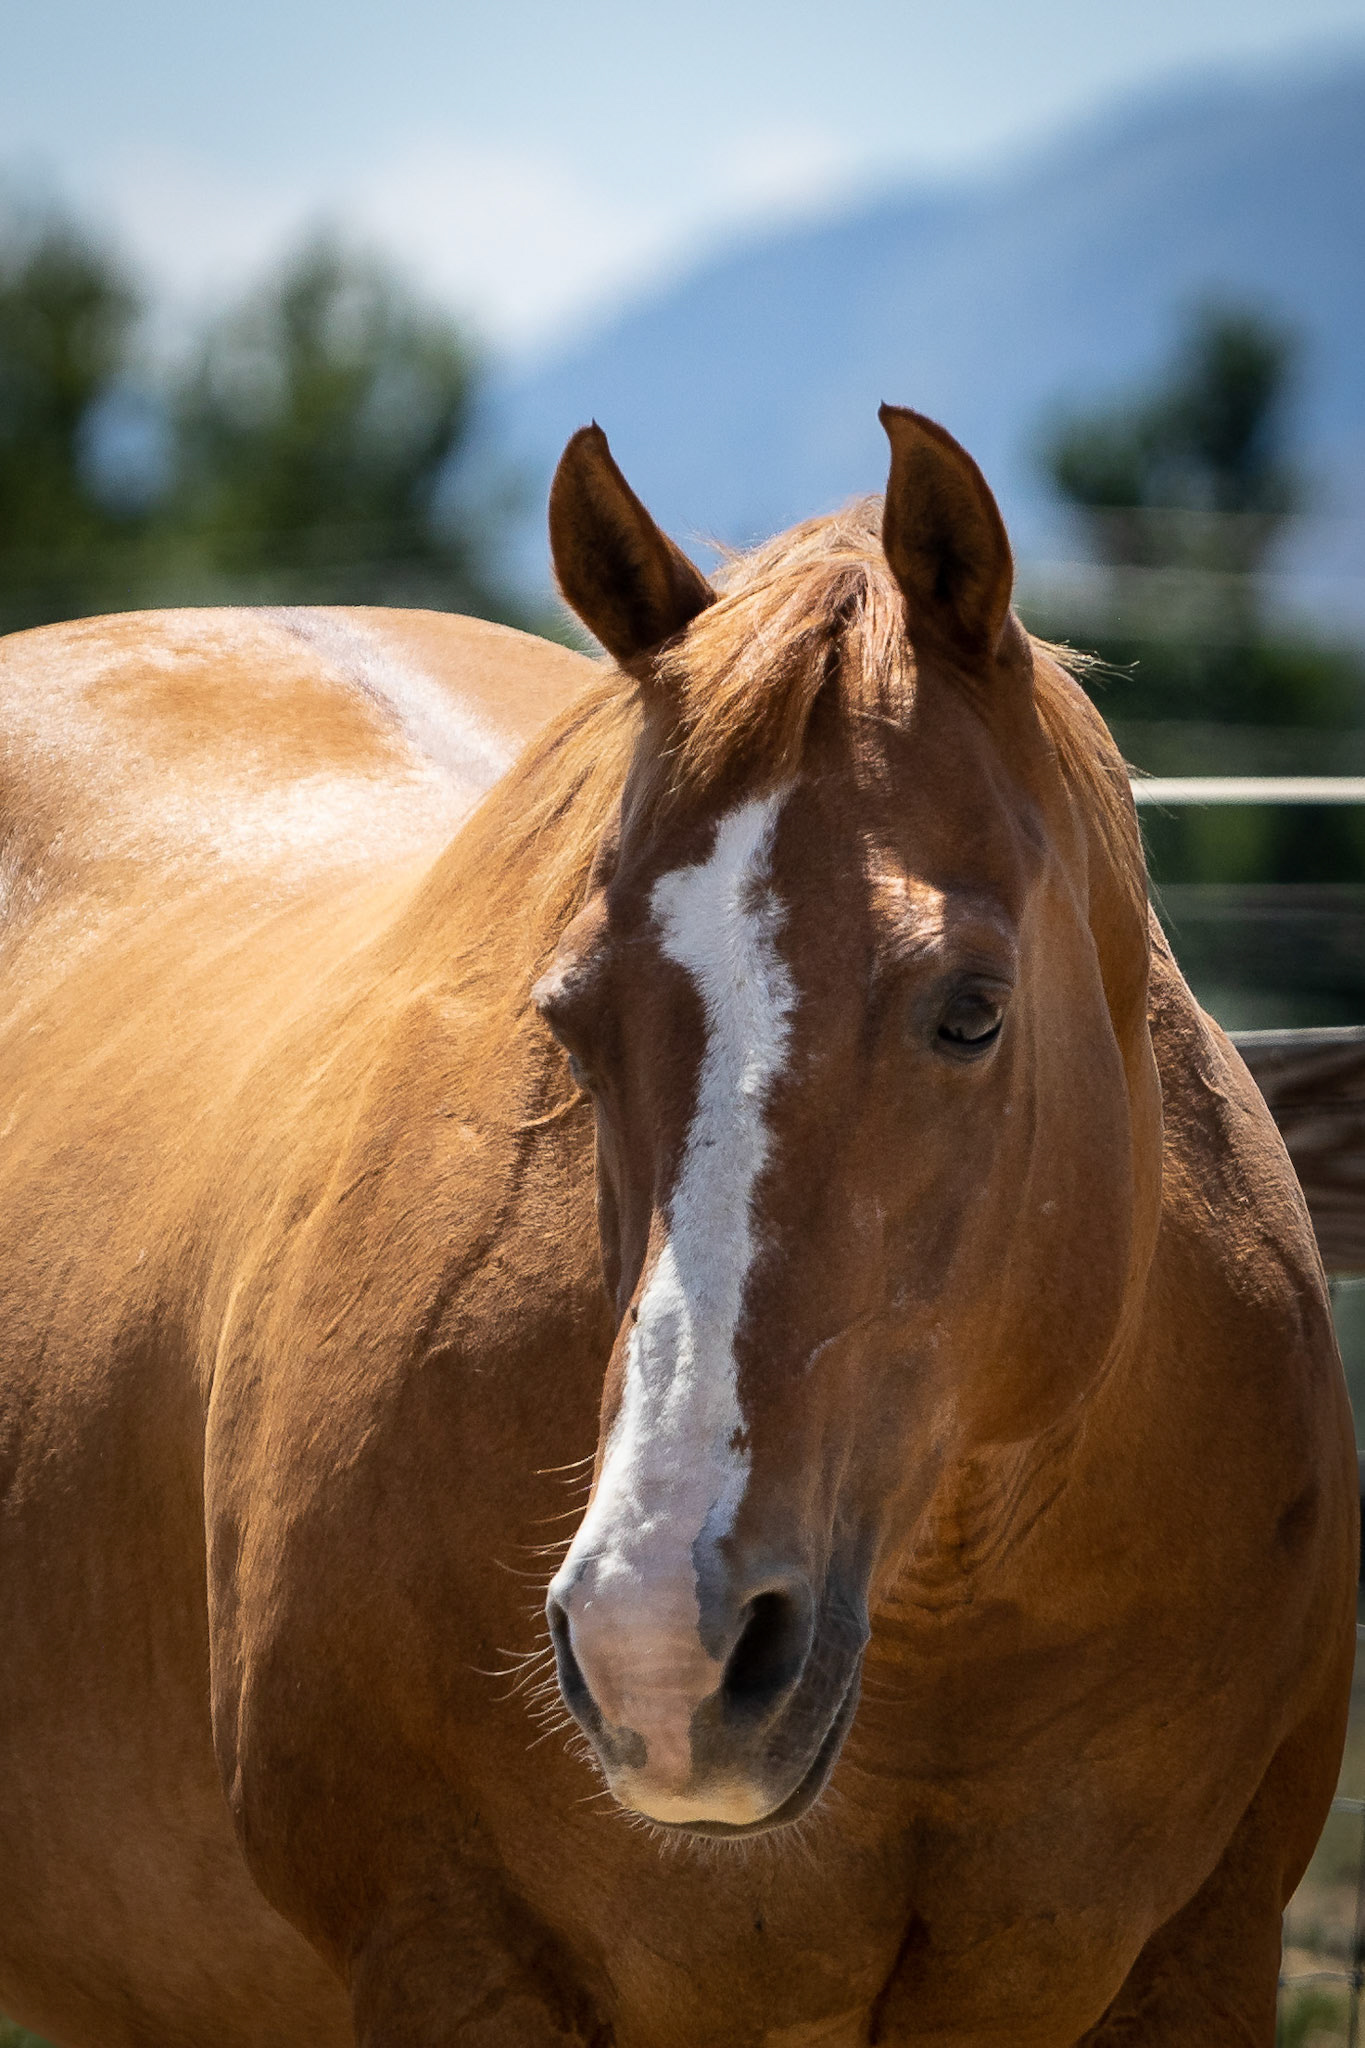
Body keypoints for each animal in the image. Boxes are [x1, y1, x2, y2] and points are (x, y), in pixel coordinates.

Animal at [0, 409, 1354, 2048]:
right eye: (571, 1026)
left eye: (971, 1010)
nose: (660, 1646)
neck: (944, 1614)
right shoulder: (453, 1958)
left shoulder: (1203, 1952)